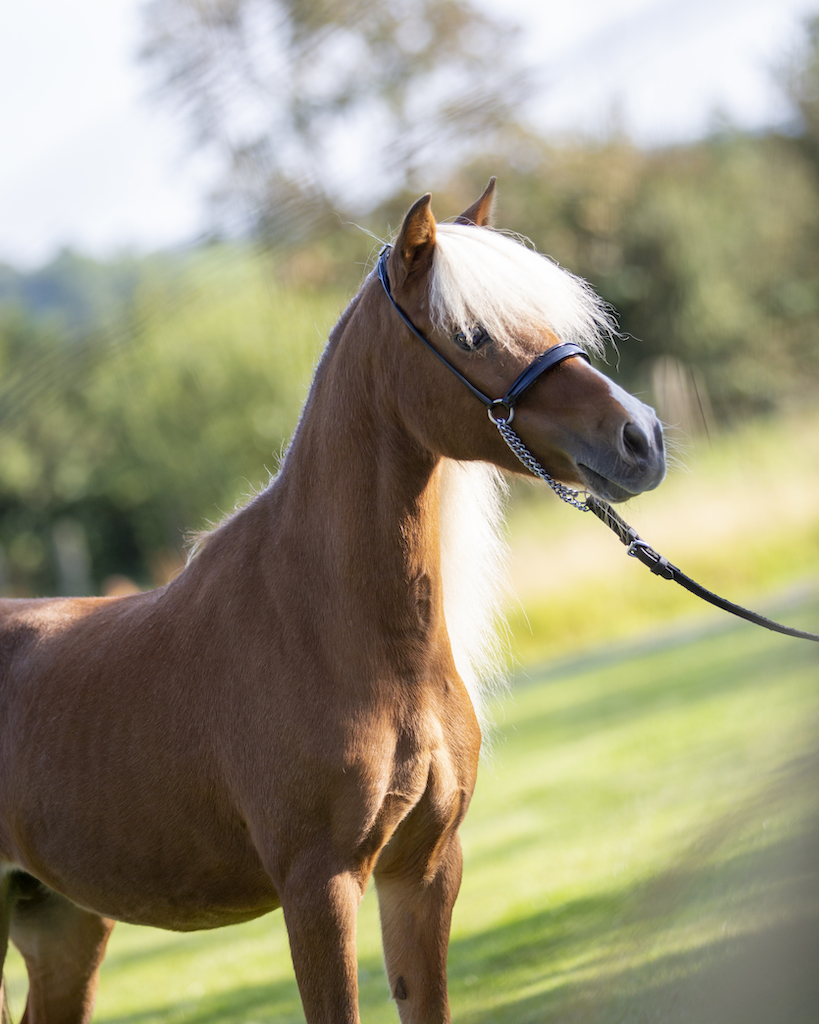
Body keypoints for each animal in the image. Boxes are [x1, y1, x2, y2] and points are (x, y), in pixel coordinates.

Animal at [0, 179, 665, 1024]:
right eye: (472, 334)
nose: (639, 437)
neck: (336, 630)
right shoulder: (319, 886)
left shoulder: (423, 870)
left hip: (63, 923)